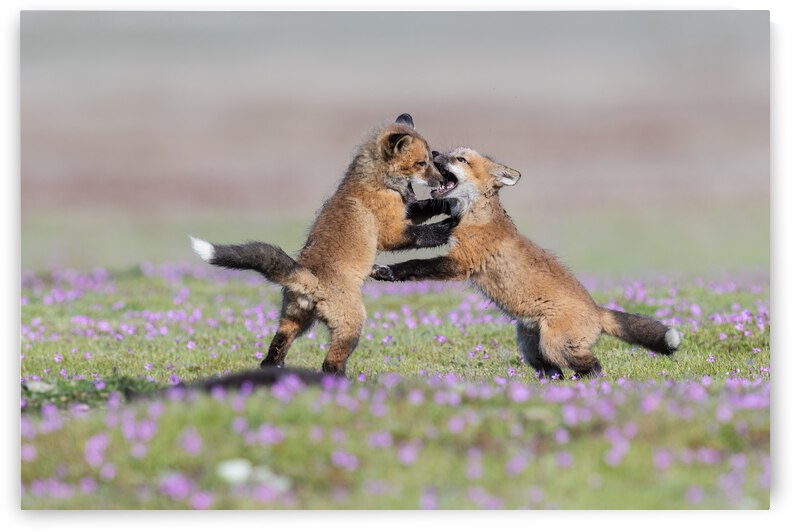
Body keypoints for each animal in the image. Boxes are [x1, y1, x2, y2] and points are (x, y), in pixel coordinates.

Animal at [191, 114, 457, 375]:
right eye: (421, 163)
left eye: (429, 160)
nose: (441, 179)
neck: (376, 184)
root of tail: (309, 279)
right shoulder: (391, 233)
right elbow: (426, 234)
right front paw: (450, 226)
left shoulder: (404, 213)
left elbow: (423, 208)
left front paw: (447, 204)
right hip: (351, 323)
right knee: (331, 364)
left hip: (296, 321)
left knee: (272, 355)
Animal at [370, 147, 681, 379]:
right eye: (447, 153)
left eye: (461, 159)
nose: (435, 152)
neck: (476, 216)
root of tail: (596, 310)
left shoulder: (461, 263)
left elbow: (414, 266)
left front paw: (386, 272)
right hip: (531, 348)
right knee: (554, 372)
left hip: (555, 345)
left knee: (592, 367)